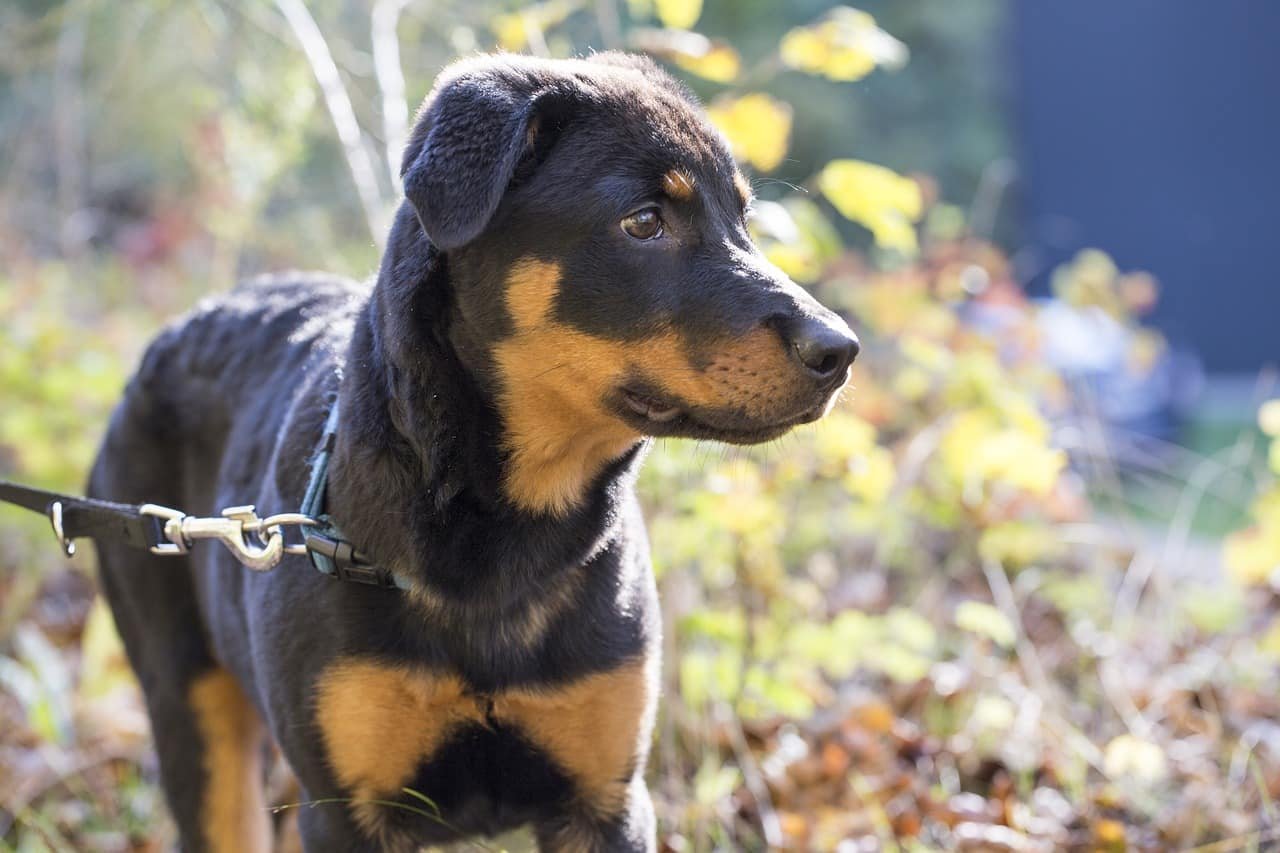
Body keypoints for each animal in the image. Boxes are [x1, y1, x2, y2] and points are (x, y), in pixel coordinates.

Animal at [90, 54, 860, 850]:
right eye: (645, 221)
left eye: (742, 218)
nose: (839, 350)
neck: (503, 545)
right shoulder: (345, 809)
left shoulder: (606, 796)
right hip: (186, 698)